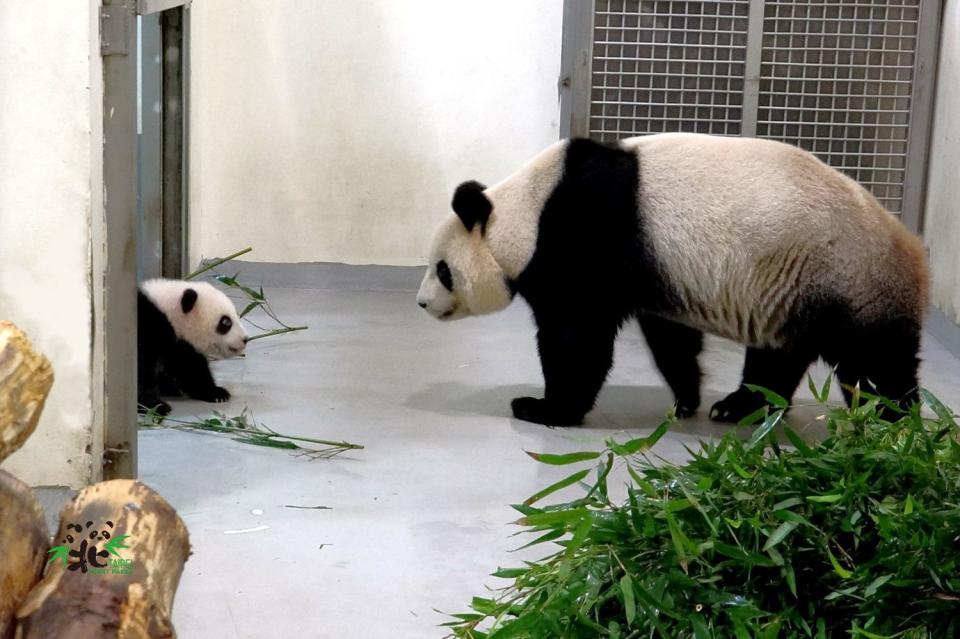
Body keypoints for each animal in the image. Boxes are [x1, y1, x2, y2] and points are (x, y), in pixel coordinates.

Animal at [141, 278, 251, 418]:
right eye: (226, 322)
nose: (245, 339)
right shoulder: (147, 327)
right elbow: (142, 369)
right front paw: (155, 406)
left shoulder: (178, 341)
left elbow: (190, 366)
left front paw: (216, 392)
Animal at [418, 133, 928, 428]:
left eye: (442, 269)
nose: (422, 304)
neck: (524, 213)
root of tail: (912, 248)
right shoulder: (655, 270)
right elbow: (670, 337)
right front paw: (686, 399)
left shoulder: (583, 239)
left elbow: (576, 339)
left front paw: (542, 408)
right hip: (791, 290)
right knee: (780, 356)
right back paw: (742, 406)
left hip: (845, 275)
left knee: (875, 361)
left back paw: (892, 424)